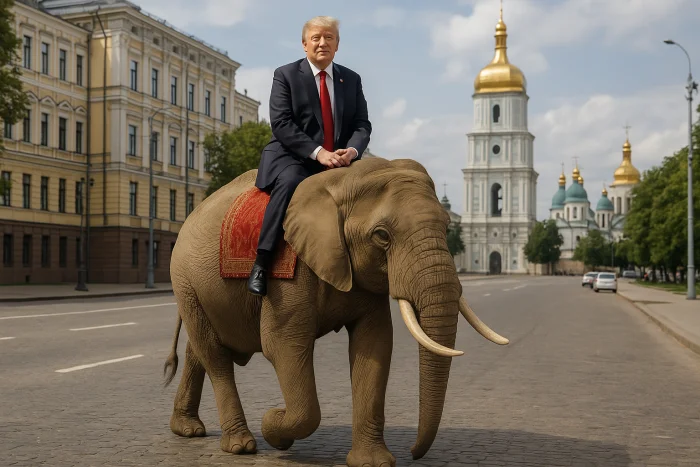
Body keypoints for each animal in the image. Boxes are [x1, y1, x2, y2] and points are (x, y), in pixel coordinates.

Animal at [163, 156, 508, 467]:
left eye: (448, 227)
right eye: (381, 236)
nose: (413, 452)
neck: (343, 182)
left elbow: (374, 345)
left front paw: (373, 463)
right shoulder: (290, 271)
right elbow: (283, 346)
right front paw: (274, 425)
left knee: (199, 350)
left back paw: (188, 430)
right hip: (185, 279)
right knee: (215, 357)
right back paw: (240, 444)